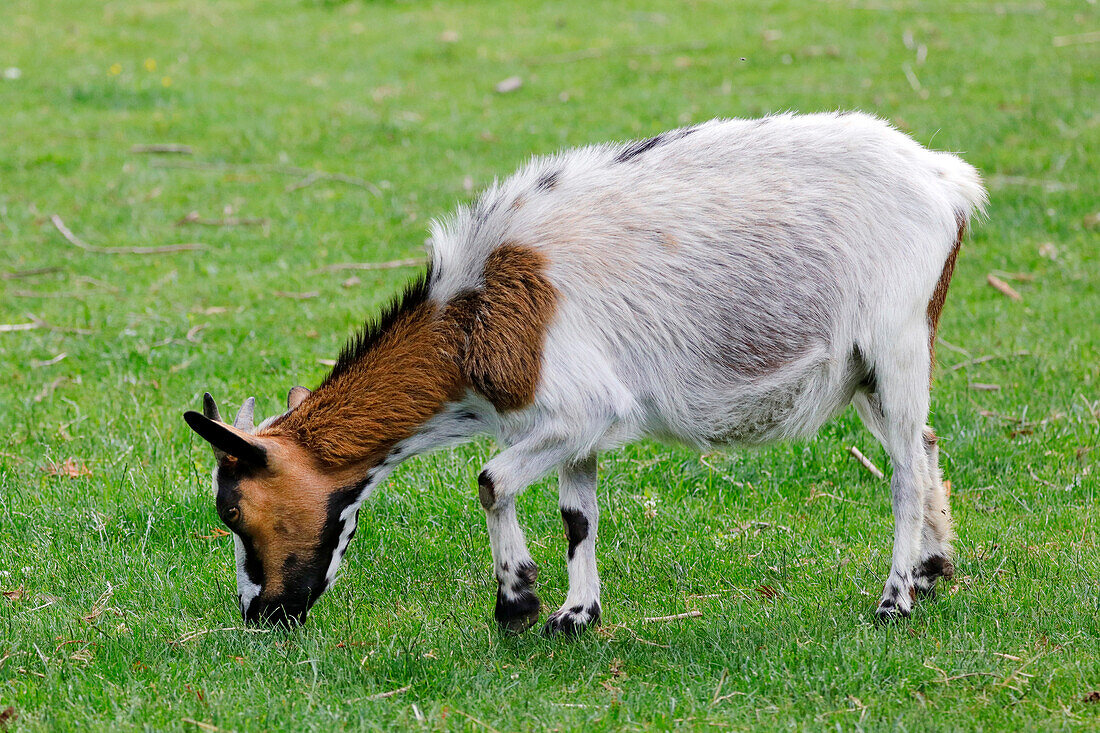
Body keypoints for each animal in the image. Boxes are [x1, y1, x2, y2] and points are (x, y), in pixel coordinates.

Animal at [182, 111, 990, 629]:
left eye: (232, 511)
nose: (260, 613)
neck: (470, 315)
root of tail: (944, 179)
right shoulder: (571, 432)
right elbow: (579, 514)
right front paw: (576, 613)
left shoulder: (579, 409)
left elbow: (489, 480)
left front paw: (517, 602)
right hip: (869, 367)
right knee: (923, 444)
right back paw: (932, 570)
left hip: (895, 339)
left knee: (902, 470)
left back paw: (894, 600)